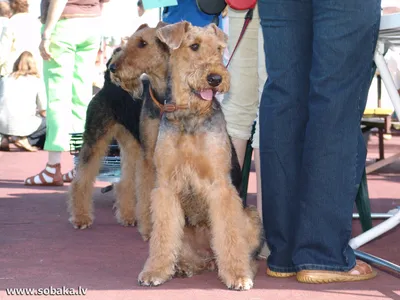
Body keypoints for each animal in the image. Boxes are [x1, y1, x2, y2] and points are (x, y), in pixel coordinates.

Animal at [69, 22, 169, 230]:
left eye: (143, 43)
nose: (116, 67)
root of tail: (108, 84)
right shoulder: (151, 156)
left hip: (131, 144)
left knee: (125, 182)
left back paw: (128, 216)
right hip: (95, 138)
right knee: (81, 180)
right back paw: (81, 217)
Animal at [139, 21, 264, 290]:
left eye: (218, 49)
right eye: (194, 46)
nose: (216, 79)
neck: (190, 115)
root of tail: (209, 257)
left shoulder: (220, 186)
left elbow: (229, 236)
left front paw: (237, 276)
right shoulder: (165, 187)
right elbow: (162, 237)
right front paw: (155, 271)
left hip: (250, 217)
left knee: (243, 251)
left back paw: (244, 268)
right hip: (186, 228)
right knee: (187, 253)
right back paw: (183, 267)